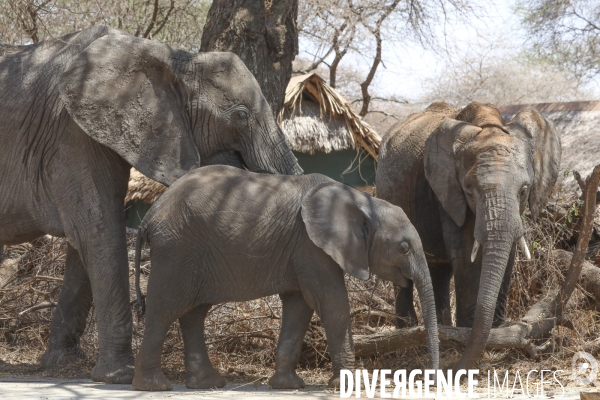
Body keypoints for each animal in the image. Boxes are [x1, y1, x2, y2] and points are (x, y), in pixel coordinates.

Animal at [0, 24, 302, 382]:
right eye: (240, 116)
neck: (174, 58)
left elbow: (84, 245)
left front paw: (63, 363)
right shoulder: (70, 136)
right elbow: (101, 233)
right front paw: (119, 376)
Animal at [132, 165, 440, 390]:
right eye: (403, 247)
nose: (432, 380)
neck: (360, 199)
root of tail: (149, 215)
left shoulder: (302, 251)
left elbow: (299, 307)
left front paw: (288, 386)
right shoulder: (311, 246)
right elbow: (331, 303)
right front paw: (347, 385)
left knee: (194, 312)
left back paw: (208, 384)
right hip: (176, 250)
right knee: (164, 308)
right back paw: (155, 386)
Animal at [378, 101, 560, 370]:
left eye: (524, 190)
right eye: (469, 191)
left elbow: (507, 255)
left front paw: (496, 333)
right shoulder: (447, 192)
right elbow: (465, 253)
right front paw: (470, 337)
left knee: (439, 269)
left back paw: (443, 335)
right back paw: (409, 336)